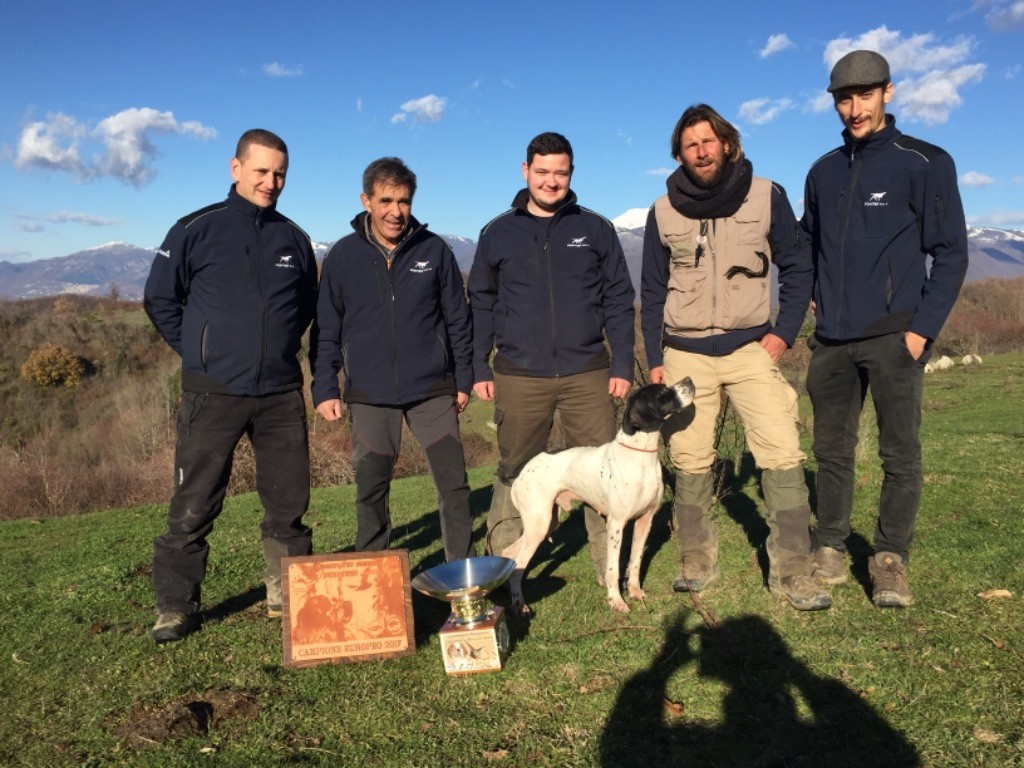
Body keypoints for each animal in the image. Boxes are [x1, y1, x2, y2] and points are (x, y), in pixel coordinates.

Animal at [503, 380, 696, 618]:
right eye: (663, 394)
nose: (689, 380)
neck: (640, 457)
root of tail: (522, 473)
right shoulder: (616, 524)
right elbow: (613, 569)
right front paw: (616, 601)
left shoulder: (644, 521)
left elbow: (635, 561)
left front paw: (635, 592)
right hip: (538, 525)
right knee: (518, 566)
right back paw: (520, 605)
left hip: (545, 522)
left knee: (509, 554)